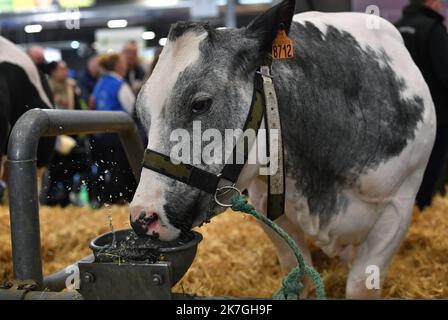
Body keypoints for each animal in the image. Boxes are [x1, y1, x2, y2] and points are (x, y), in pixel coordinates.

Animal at [129, 1, 434, 298]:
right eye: (141, 113)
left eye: (200, 104)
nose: (143, 218)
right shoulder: (266, 204)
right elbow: (298, 275)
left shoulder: (398, 207)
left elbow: (360, 285)